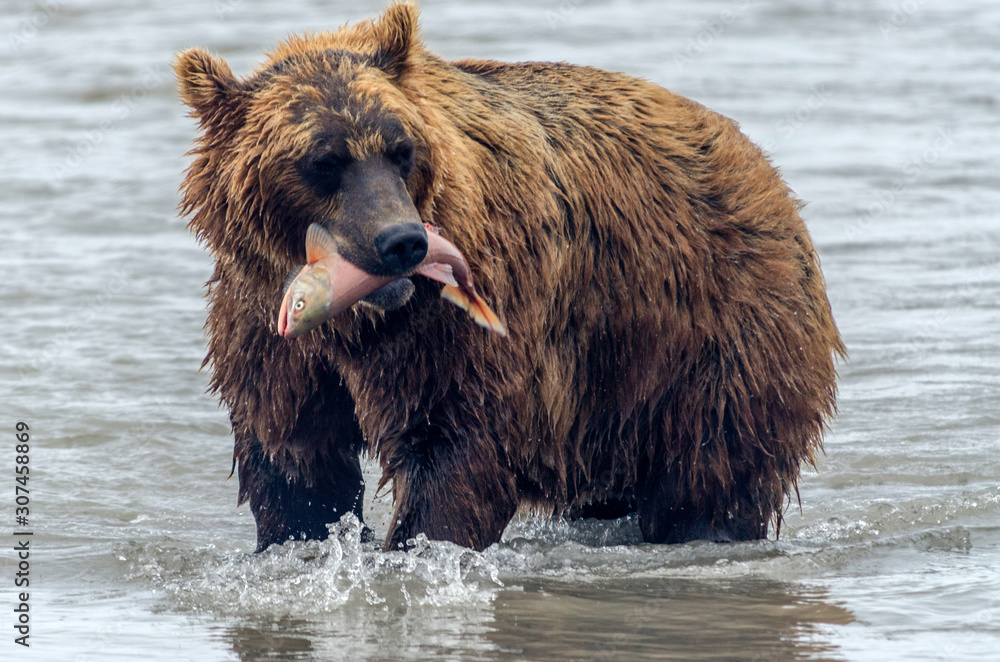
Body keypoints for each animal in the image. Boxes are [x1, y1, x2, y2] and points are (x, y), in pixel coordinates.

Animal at [172, 1, 844, 556]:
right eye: (323, 161)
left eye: (401, 149)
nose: (402, 241)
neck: (356, 325)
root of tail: (764, 170)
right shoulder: (264, 328)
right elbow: (295, 456)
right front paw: (300, 535)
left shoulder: (458, 317)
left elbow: (452, 444)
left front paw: (418, 544)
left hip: (710, 333)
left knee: (710, 468)